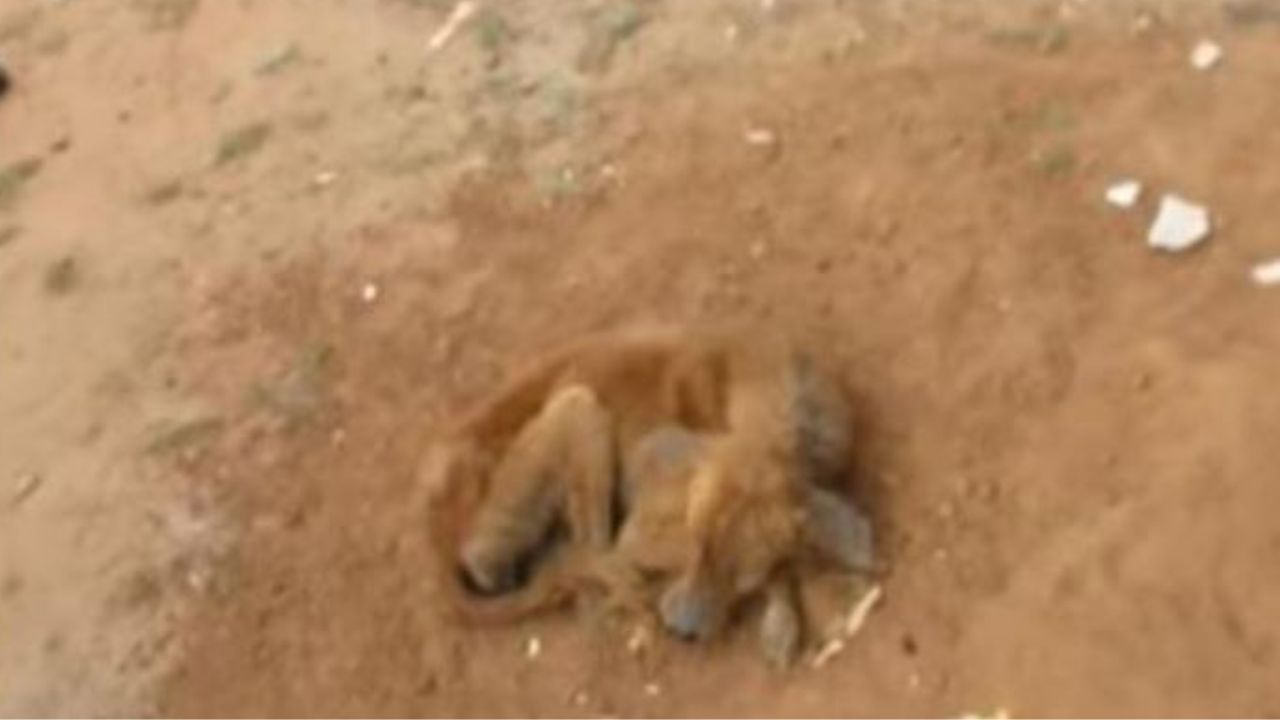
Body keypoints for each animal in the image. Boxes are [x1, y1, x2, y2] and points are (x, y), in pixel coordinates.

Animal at [424, 325, 875, 661]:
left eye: (740, 578)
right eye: (696, 547)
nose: (681, 632)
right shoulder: (643, 530)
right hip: (579, 411)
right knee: (586, 558)